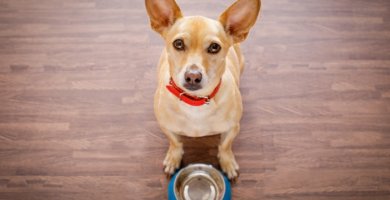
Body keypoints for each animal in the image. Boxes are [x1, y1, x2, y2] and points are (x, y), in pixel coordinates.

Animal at [145, 0, 260, 179]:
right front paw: (173, 158)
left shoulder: (233, 128)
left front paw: (227, 162)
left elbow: (225, 146)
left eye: (214, 47)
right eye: (178, 44)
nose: (193, 76)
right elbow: (175, 142)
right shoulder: (166, 127)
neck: (195, 101)